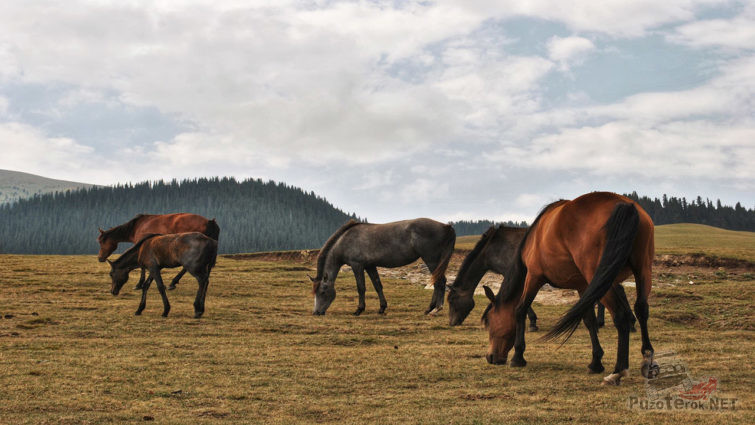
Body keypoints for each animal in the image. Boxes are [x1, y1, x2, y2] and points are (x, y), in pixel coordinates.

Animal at [312, 219, 458, 314]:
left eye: (322, 292)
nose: (316, 312)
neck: (346, 240)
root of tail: (446, 226)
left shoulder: (357, 265)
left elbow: (361, 287)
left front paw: (359, 309)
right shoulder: (370, 266)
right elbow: (377, 285)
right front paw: (382, 307)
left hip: (431, 260)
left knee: (440, 281)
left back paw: (436, 308)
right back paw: (430, 308)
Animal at [484, 192, 656, 384]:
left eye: (489, 320)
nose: (490, 357)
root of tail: (625, 206)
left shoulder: (534, 277)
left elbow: (520, 309)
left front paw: (518, 356)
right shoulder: (583, 286)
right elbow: (589, 320)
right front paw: (596, 362)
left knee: (621, 316)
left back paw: (618, 370)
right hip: (642, 269)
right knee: (641, 309)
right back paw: (647, 357)